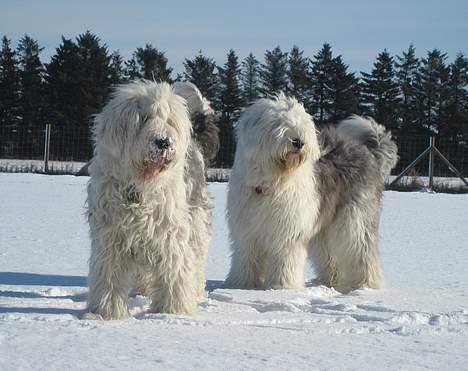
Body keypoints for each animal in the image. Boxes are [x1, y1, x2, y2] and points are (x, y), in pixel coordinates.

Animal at [85, 79, 214, 320]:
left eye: (169, 120)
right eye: (144, 118)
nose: (163, 142)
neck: (139, 187)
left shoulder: (170, 236)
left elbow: (175, 273)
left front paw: (172, 312)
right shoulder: (110, 239)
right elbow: (109, 276)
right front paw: (106, 313)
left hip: (196, 223)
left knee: (197, 262)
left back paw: (197, 294)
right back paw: (141, 292)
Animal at [225, 95, 396, 294]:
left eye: (301, 124)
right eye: (277, 123)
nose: (298, 142)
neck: (271, 183)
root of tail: (367, 151)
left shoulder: (288, 233)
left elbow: (286, 259)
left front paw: (282, 286)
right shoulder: (247, 231)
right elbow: (246, 258)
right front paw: (241, 285)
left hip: (354, 218)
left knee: (361, 250)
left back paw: (364, 285)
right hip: (324, 226)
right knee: (329, 255)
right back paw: (329, 281)